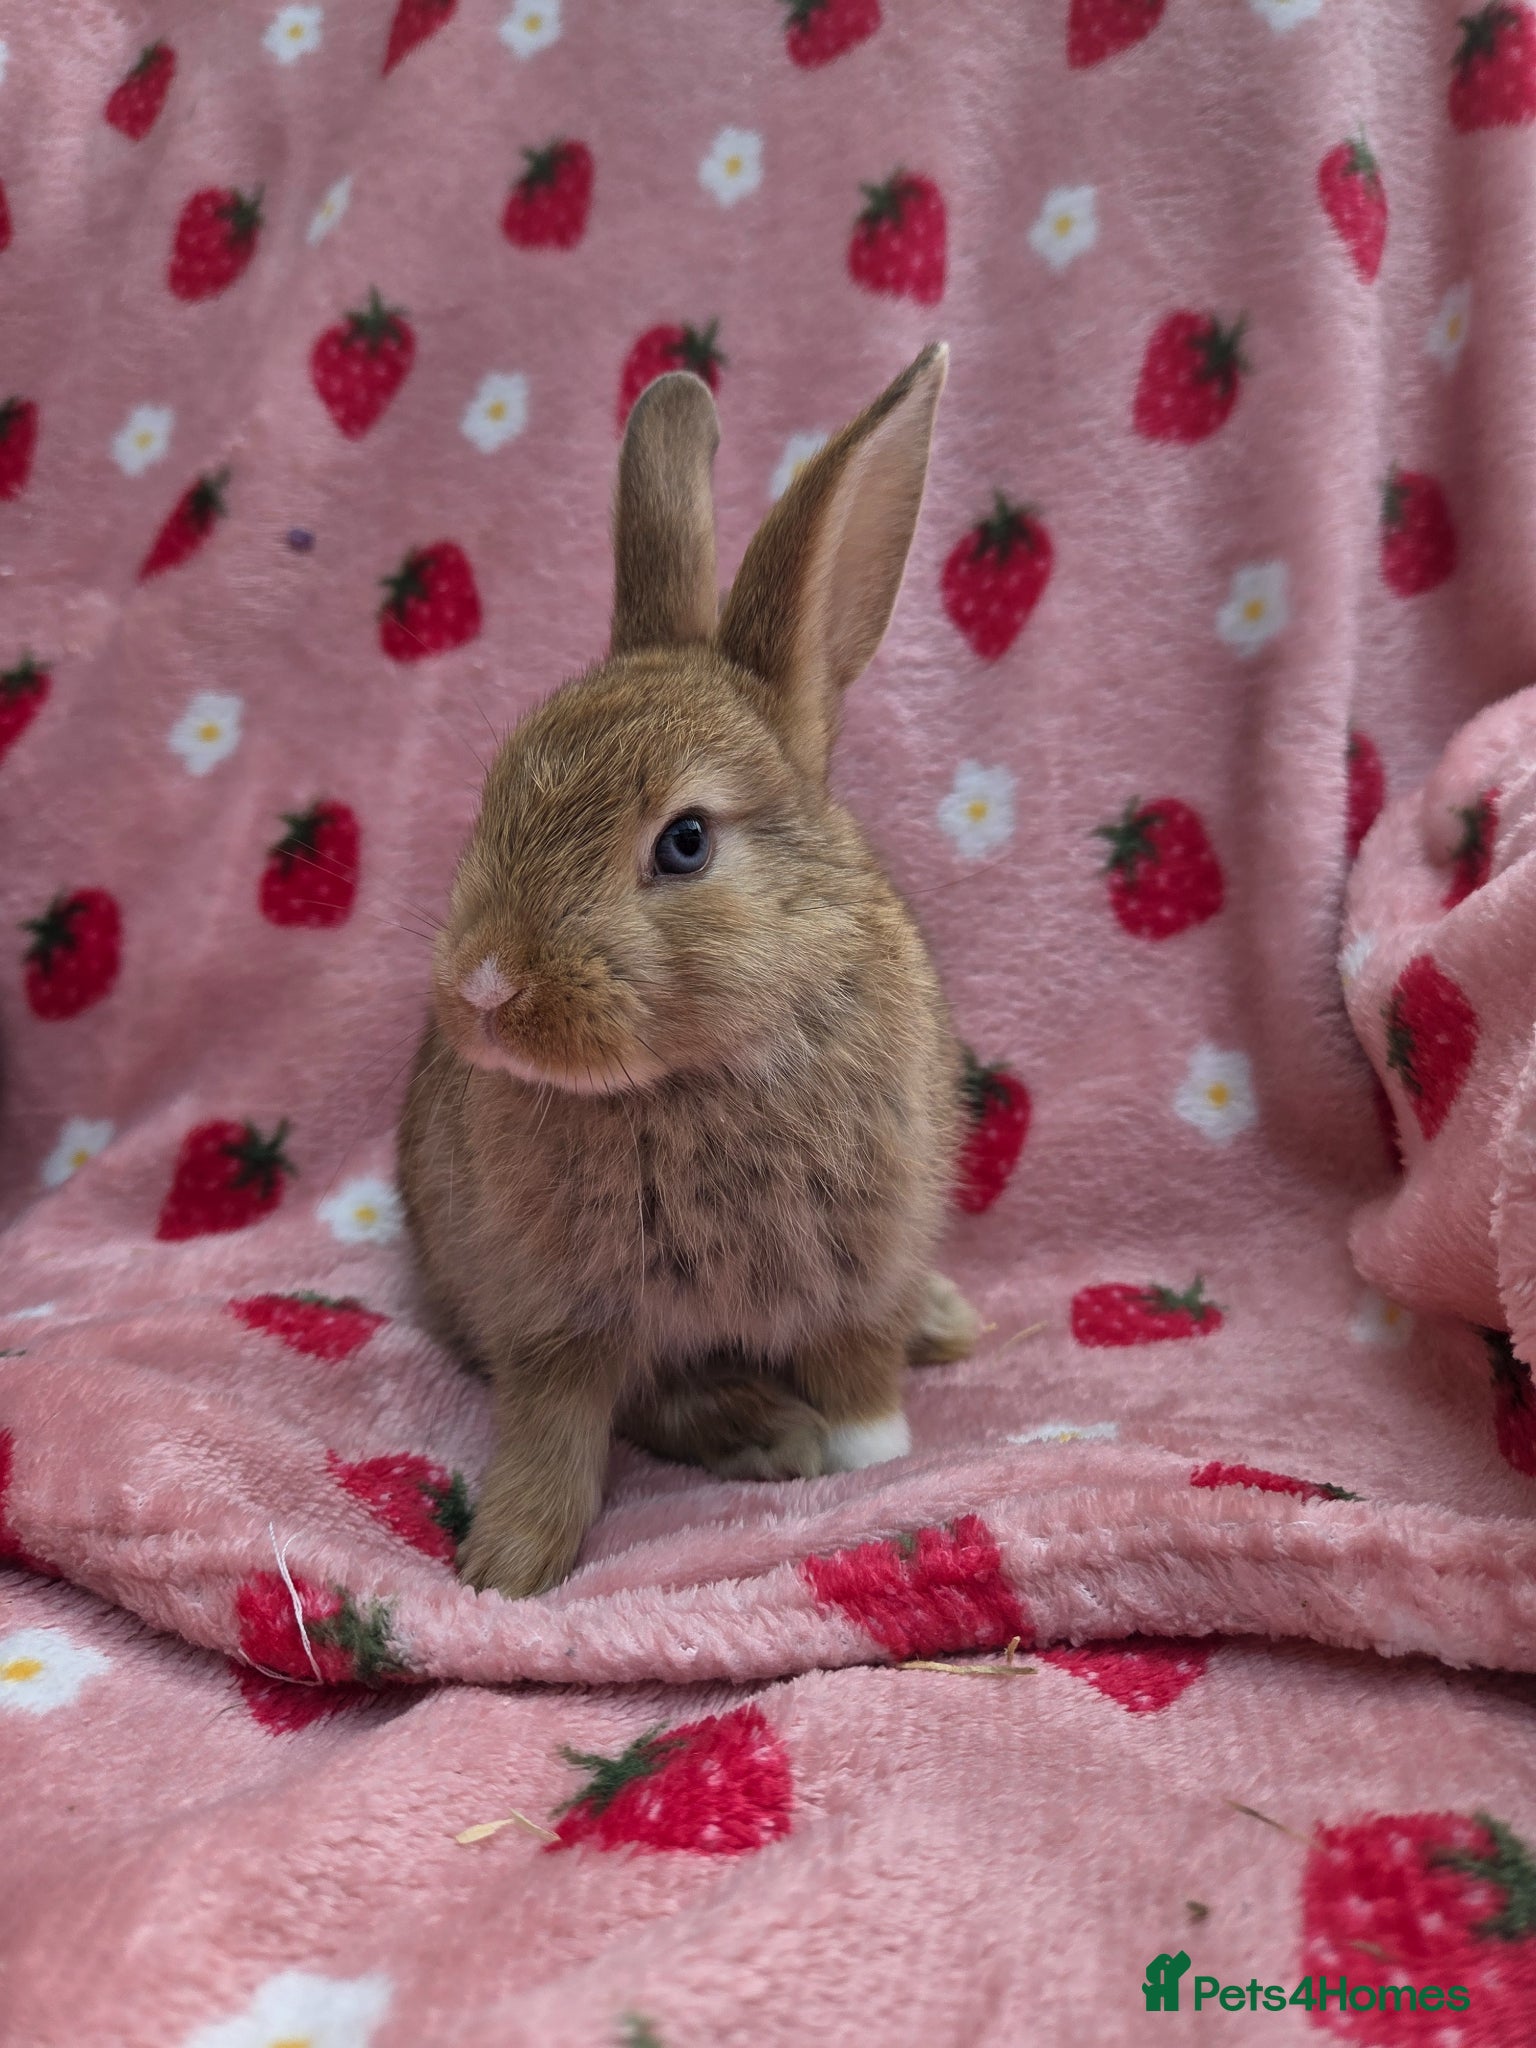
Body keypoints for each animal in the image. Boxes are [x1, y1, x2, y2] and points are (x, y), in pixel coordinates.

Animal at [398, 342, 979, 1600]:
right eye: (495, 788)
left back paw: (938, 1327)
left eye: (686, 842)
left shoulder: (867, 1246)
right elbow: (558, 1429)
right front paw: (502, 1570)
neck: (692, 1072)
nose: (485, 988)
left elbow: (860, 1359)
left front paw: (871, 1451)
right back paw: (762, 1425)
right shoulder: (552, 1311)